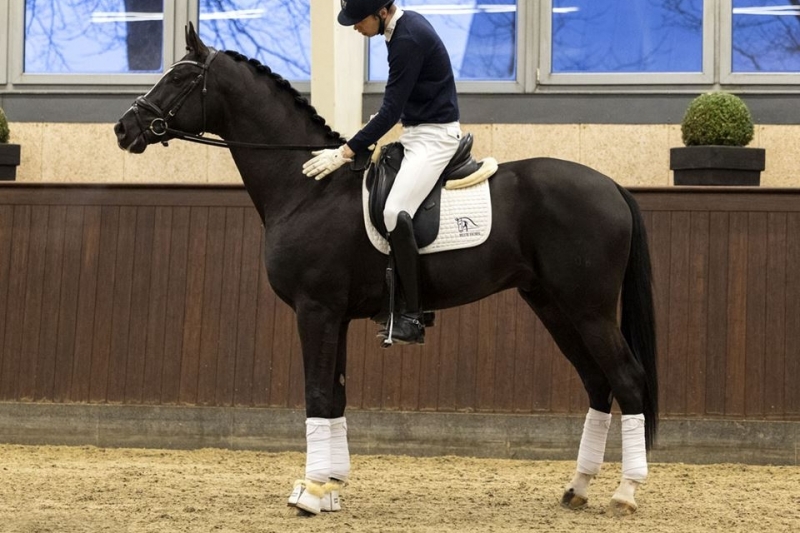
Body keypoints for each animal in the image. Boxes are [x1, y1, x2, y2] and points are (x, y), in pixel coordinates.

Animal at [115, 25, 660, 516]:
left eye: (180, 77)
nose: (124, 129)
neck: (309, 190)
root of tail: (611, 185)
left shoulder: (316, 310)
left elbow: (317, 394)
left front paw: (311, 493)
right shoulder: (334, 316)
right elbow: (335, 396)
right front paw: (330, 487)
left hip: (588, 309)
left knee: (627, 379)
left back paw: (625, 493)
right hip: (552, 305)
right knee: (597, 382)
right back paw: (578, 488)